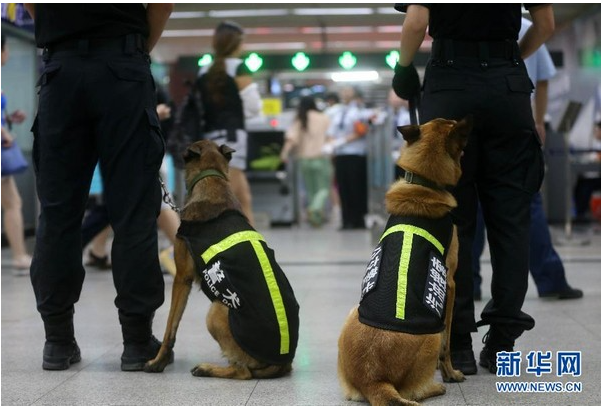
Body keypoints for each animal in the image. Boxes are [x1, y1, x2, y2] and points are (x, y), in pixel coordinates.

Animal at [145, 140, 300, 380]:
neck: (211, 177)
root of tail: (283, 361)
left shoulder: (182, 279)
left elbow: (171, 326)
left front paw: (158, 361)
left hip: (216, 311)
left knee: (243, 371)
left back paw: (208, 368)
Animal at [336, 116, 472, 404]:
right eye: (454, 125)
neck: (423, 183)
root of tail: (373, 381)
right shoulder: (450, 284)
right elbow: (448, 342)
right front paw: (451, 373)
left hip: (352, 313)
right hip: (430, 334)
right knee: (415, 388)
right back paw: (435, 386)